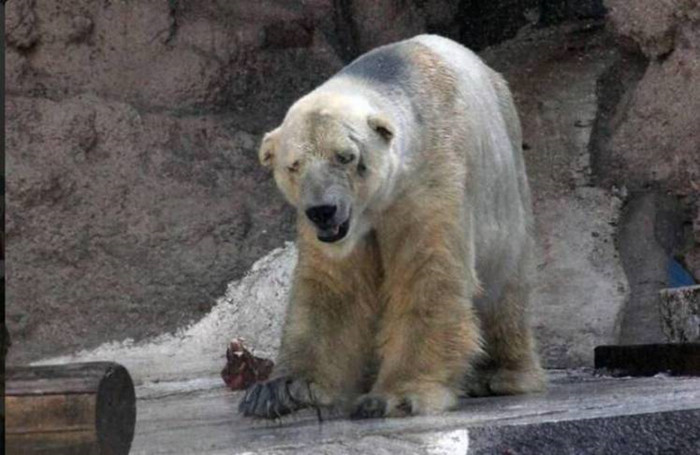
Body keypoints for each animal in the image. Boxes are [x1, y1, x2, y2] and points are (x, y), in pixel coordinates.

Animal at [239, 34, 545, 420]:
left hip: (506, 187)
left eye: (346, 156)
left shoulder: (428, 183)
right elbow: (334, 288)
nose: (323, 211)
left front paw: (394, 395)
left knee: (505, 287)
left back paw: (501, 374)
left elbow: (427, 274)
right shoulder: (336, 231)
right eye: (293, 165)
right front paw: (281, 390)